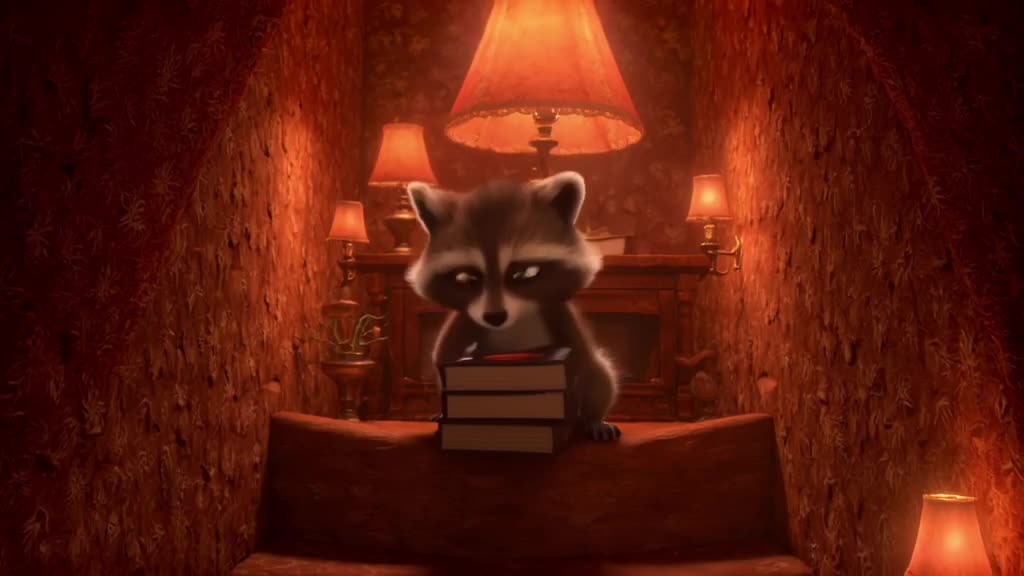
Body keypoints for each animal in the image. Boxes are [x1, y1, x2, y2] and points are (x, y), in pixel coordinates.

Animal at [405, 171, 621, 441]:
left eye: (525, 273)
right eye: (466, 278)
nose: (495, 317)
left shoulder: (555, 311)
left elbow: (583, 360)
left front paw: (587, 413)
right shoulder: (466, 320)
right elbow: (443, 356)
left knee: (601, 373)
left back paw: (593, 418)